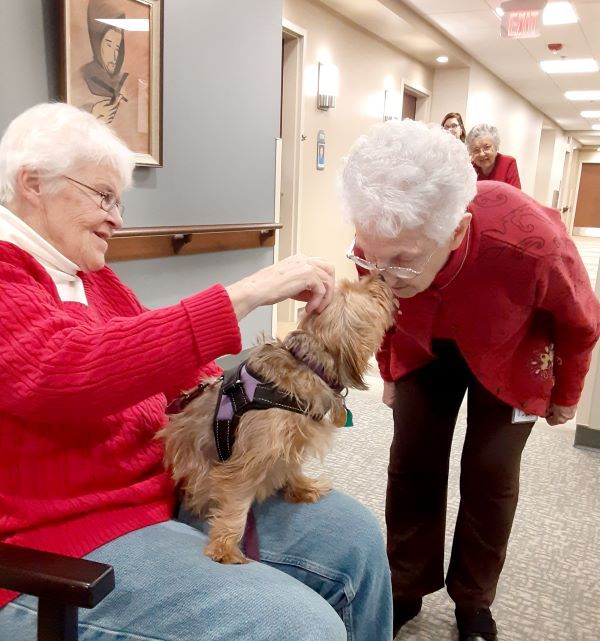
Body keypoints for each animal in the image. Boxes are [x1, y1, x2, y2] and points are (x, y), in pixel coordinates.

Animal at [159, 272, 394, 564]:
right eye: (358, 288)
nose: (380, 274)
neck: (308, 364)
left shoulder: (291, 443)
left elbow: (292, 466)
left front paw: (302, 487)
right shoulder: (249, 459)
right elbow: (236, 503)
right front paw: (225, 546)